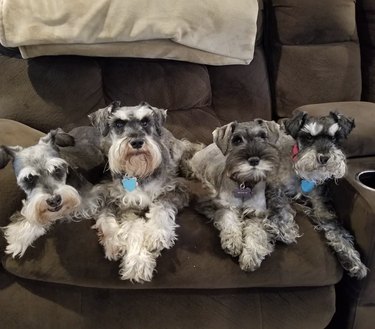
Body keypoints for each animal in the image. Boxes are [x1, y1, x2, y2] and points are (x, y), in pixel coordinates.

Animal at [89, 100, 192, 282]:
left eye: (145, 121)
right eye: (118, 123)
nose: (137, 142)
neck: (137, 174)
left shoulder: (175, 189)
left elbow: (161, 208)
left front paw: (156, 234)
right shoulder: (125, 205)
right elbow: (132, 228)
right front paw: (137, 261)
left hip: (177, 149)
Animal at [184, 119, 298, 270]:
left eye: (263, 136)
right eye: (237, 140)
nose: (254, 159)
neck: (245, 183)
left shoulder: (256, 214)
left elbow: (256, 233)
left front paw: (251, 256)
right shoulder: (226, 206)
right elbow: (230, 221)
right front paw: (233, 242)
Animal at [284, 109, 368, 276]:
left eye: (334, 138)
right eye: (309, 137)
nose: (324, 158)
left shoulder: (322, 208)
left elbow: (337, 229)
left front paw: (353, 259)